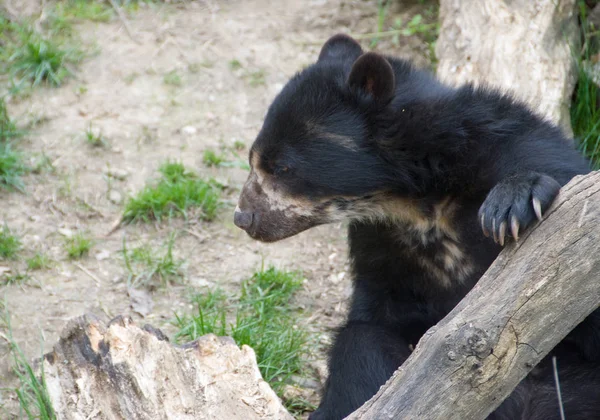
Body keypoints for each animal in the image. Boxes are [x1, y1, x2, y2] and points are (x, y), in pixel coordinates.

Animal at [231, 33, 600, 420]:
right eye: (253, 160)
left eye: (282, 167)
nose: (243, 217)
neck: (416, 201)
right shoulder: (380, 246)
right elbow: (374, 322)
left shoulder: (520, 147)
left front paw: (514, 201)